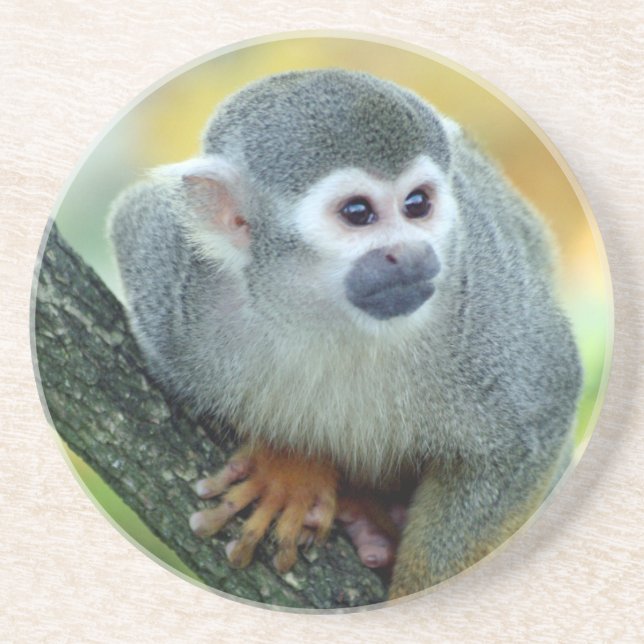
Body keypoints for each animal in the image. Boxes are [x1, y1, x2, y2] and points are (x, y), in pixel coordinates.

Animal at [108, 69, 582, 600]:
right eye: (358, 213)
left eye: (417, 204)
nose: (410, 254)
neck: (331, 316)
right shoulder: (179, 293)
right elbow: (133, 217)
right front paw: (289, 466)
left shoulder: (484, 294)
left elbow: (535, 423)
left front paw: (414, 595)